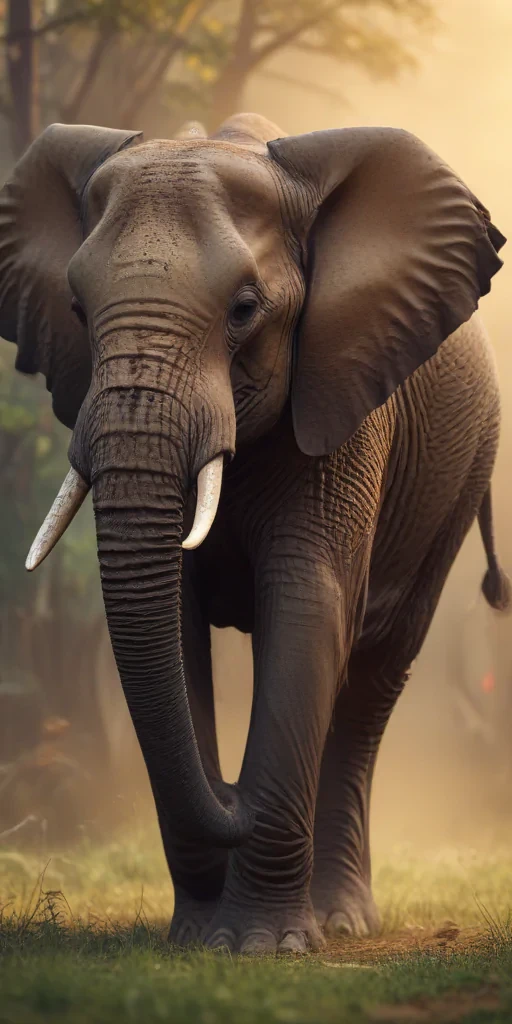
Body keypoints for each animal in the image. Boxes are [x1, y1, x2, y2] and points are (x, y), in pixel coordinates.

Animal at [0, 112, 509, 955]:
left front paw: (261, 948)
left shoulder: (344, 401)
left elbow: (306, 608)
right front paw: (196, 939)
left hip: (463, 475)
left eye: (244, 309)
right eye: (75, 308)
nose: (233, 792)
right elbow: (173, 629)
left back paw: (340, 922)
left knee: (373, 680)